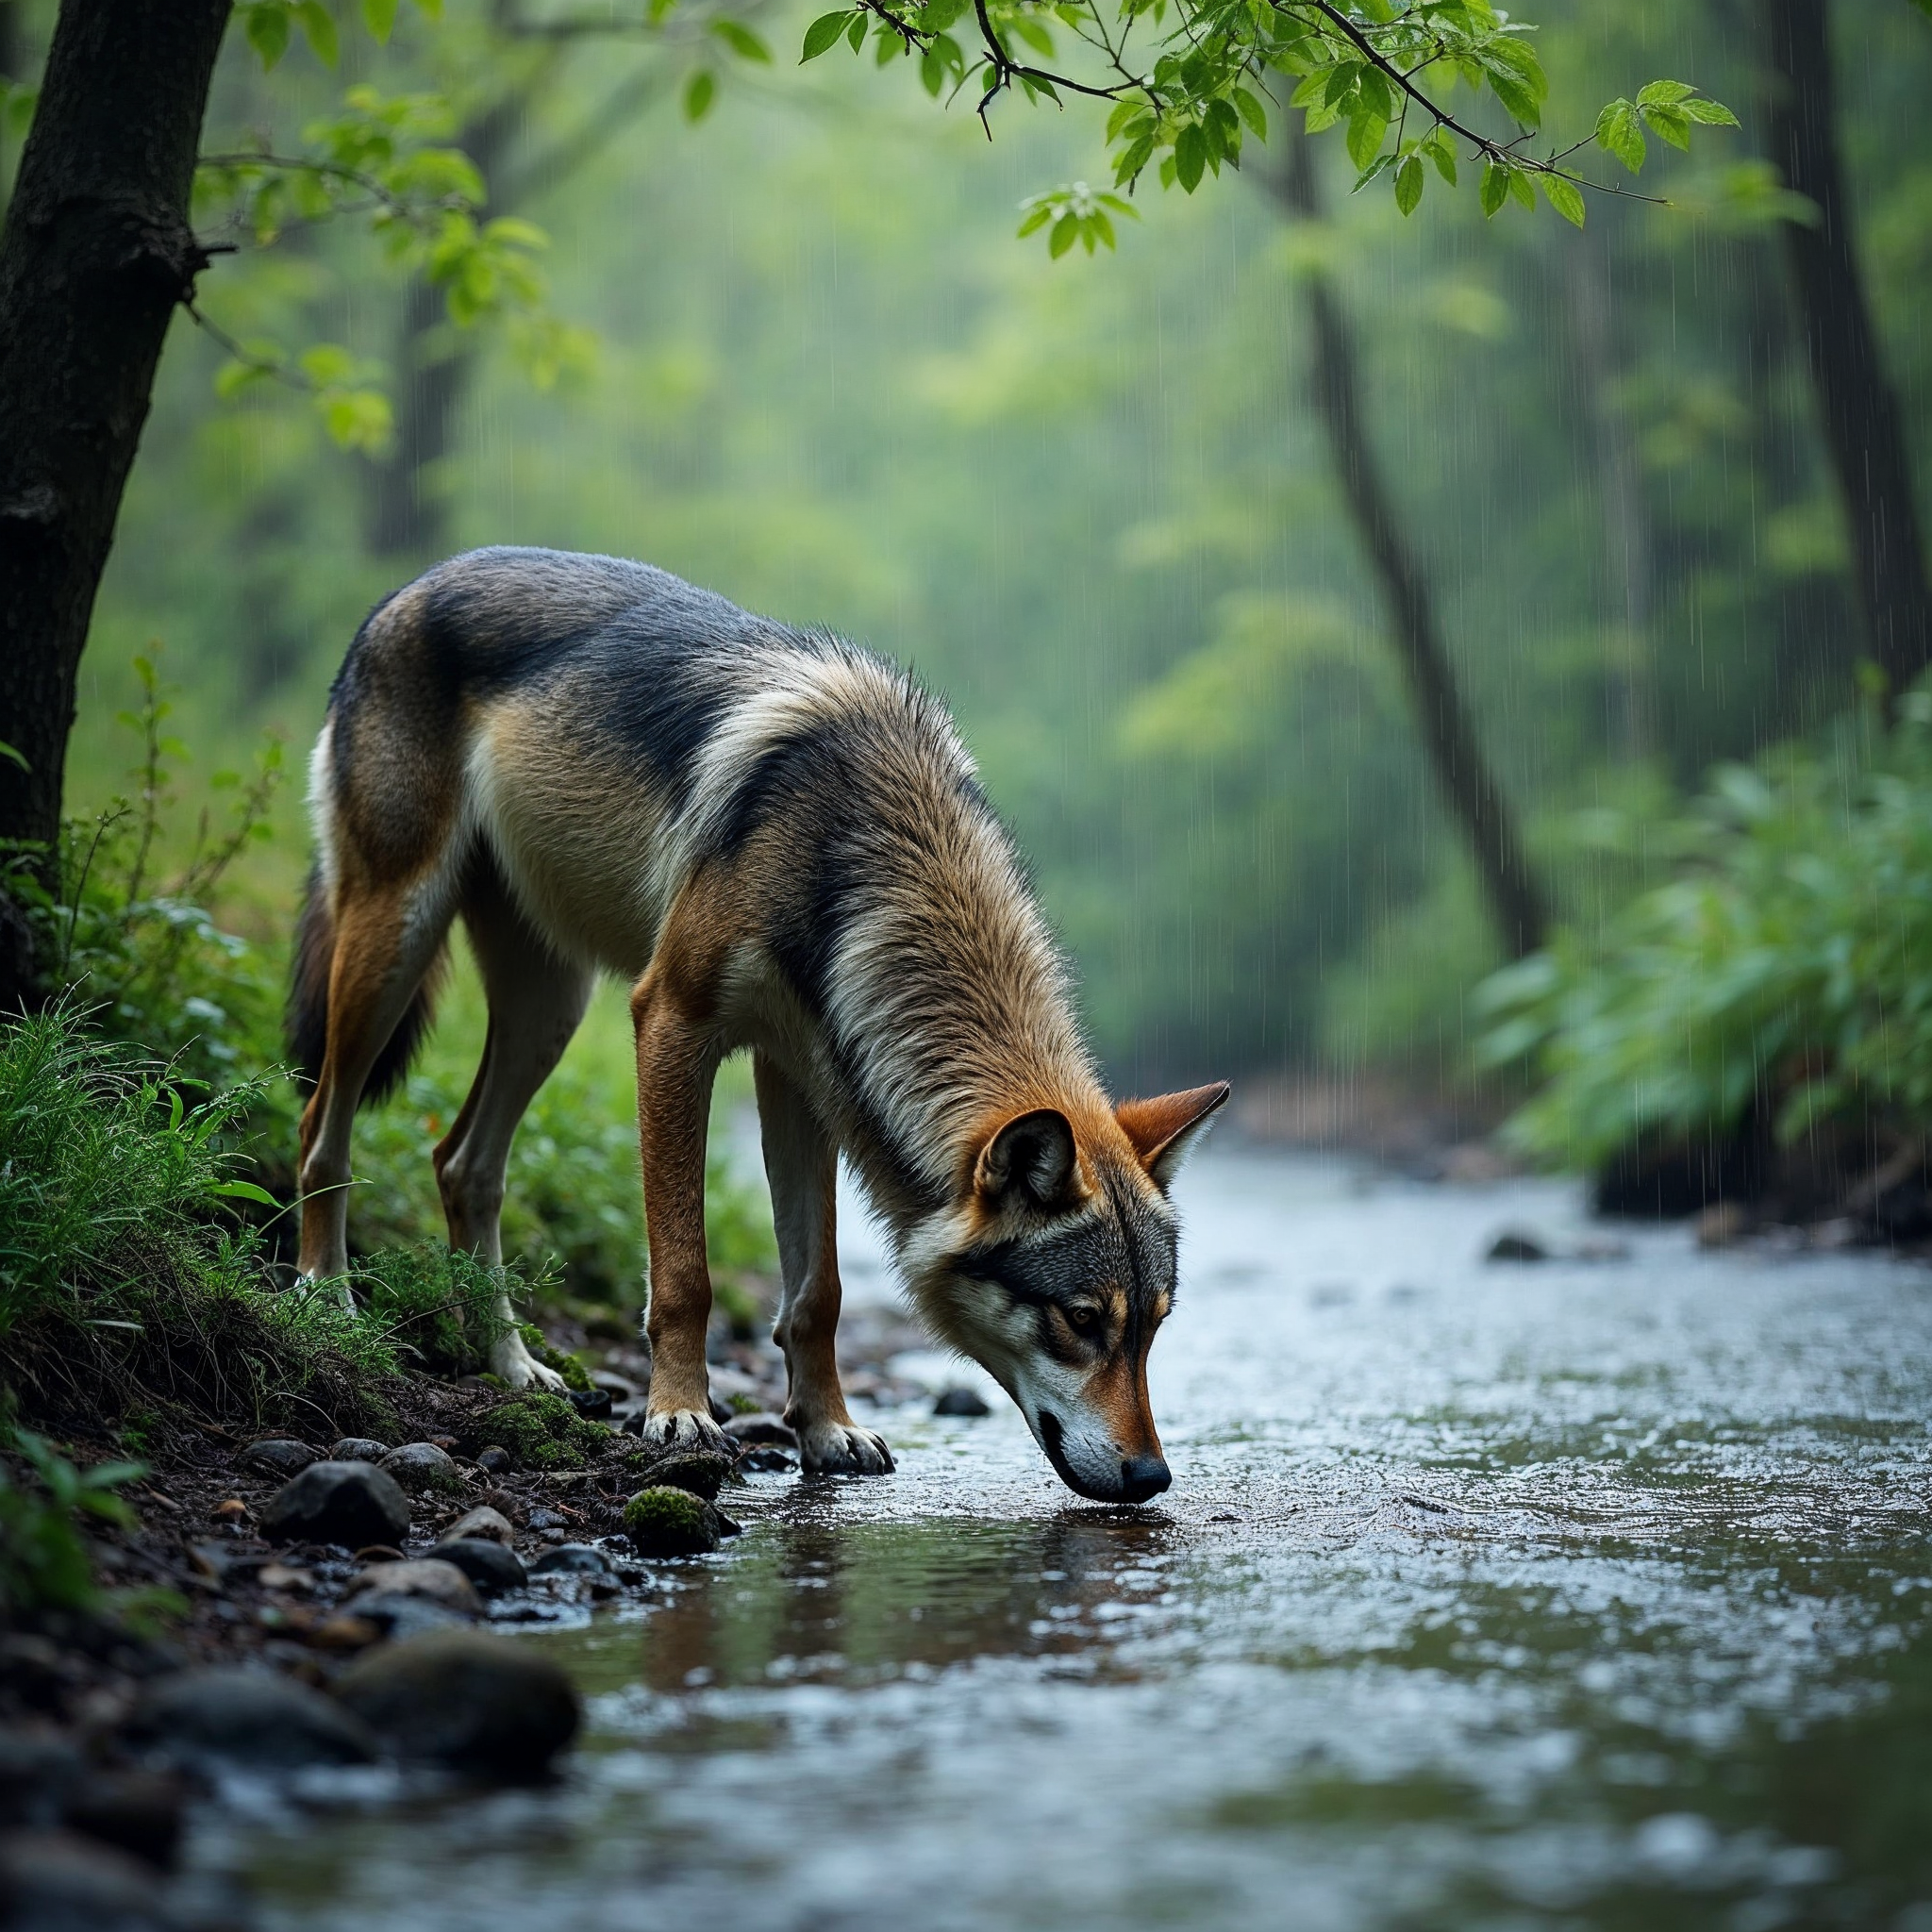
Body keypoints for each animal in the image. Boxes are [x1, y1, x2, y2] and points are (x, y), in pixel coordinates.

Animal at [290, 548, 1227, 1503]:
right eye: (1081, 1318)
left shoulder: (805, 1076)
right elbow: (685, 1273)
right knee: (320, 1127)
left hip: (549, 1008)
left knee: (462, 1164)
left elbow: (818, 1293)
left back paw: (513, 1367)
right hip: (395, 946)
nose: (1152, 1475)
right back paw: (328, 1297)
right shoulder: (671, 1022)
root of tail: (413, 586)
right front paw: (679, 1415)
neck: (853, 857)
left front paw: (829, 1430)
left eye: (1154, 1325)